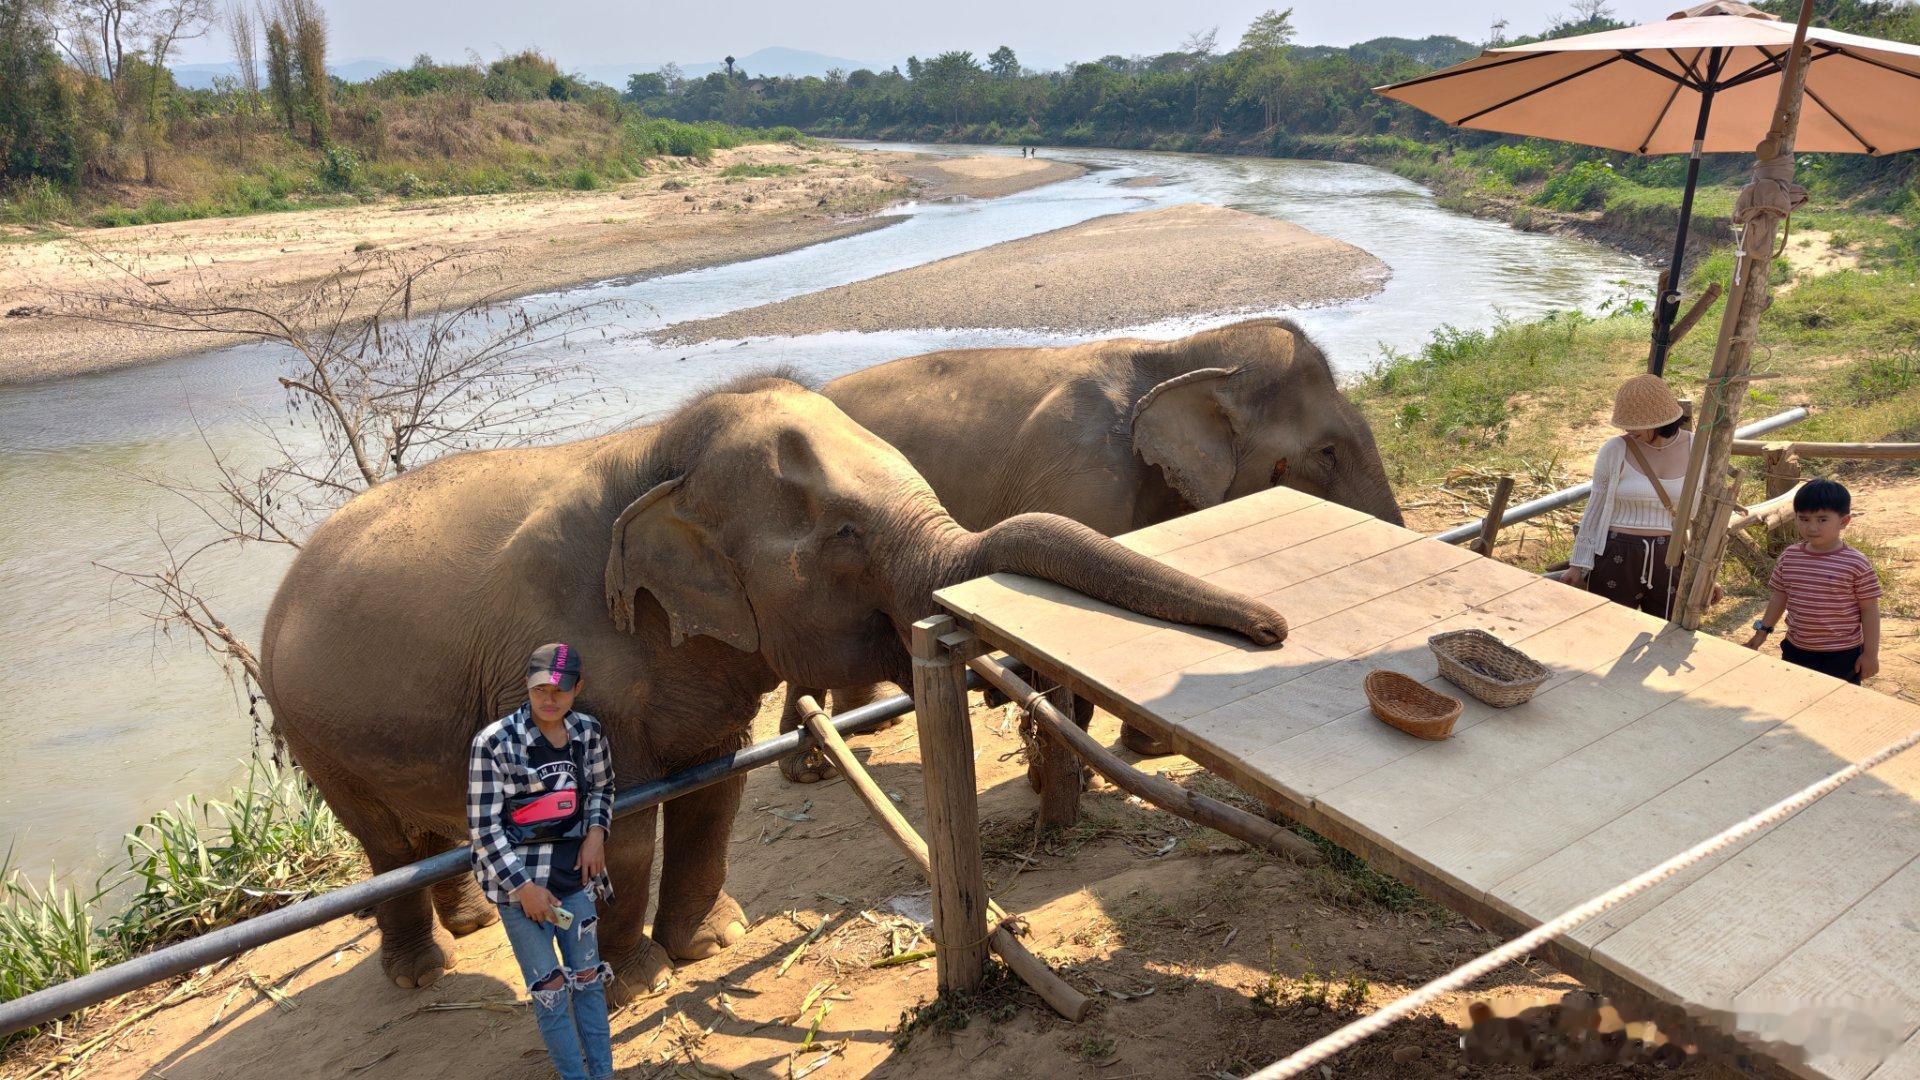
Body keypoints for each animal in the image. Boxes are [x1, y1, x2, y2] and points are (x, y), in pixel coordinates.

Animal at [251, 374, 1274, 999]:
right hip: (309, 727)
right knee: (380, 841)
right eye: (846, 535)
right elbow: (620, 828)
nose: (1272, 630)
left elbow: (716, 793)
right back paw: (424, 973)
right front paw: (642, 983)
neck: (656, 455)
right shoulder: (566, 667)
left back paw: (466, 925)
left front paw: (714, 944)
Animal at [775, 315, 1397, 776]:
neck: (1176, 354)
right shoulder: (1084, 476)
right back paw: (811, 767)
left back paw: (857, 729)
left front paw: (1145, 748)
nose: (1277, 632)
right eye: (1327, 454)